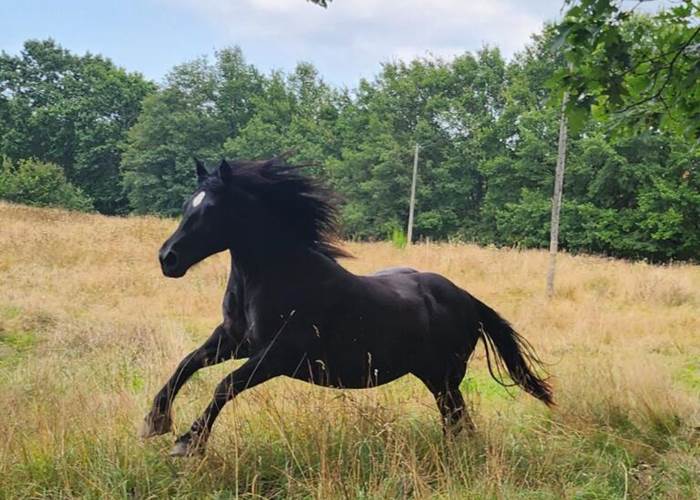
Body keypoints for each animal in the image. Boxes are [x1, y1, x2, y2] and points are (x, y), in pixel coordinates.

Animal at [140, 157, 553, 457]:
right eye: (186, 204)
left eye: (211, 209)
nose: (168, 259)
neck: (280, 276)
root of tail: (466, 298)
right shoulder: (233, 339)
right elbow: (187, 364)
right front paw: (155, 421)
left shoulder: (277, 355)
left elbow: (225, 385)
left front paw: (188, 443)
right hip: (436, 377)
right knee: (457, 422)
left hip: (444, 378)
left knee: (456, 420)